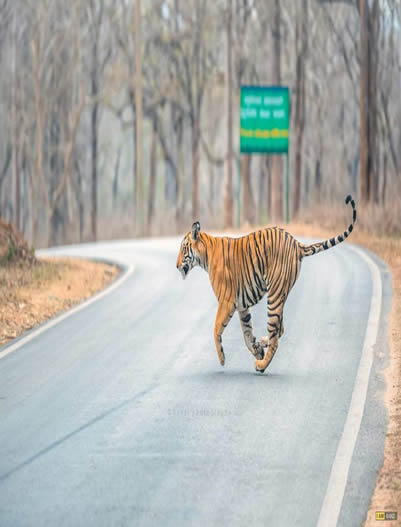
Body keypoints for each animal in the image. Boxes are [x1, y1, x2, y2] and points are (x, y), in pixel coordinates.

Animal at [175, 196, 356, 374]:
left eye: (183, 249)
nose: (176, 266)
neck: (205, 255)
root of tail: (296, 243)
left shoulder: (226, 301)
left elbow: (216, 329)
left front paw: (222, 359)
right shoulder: (241, 305)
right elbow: (247, 333)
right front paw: (256, 349)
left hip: (274, 296)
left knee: (275, 336)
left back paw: (261, 365)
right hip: (279, 295)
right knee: (280, 330)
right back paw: (262, 345)